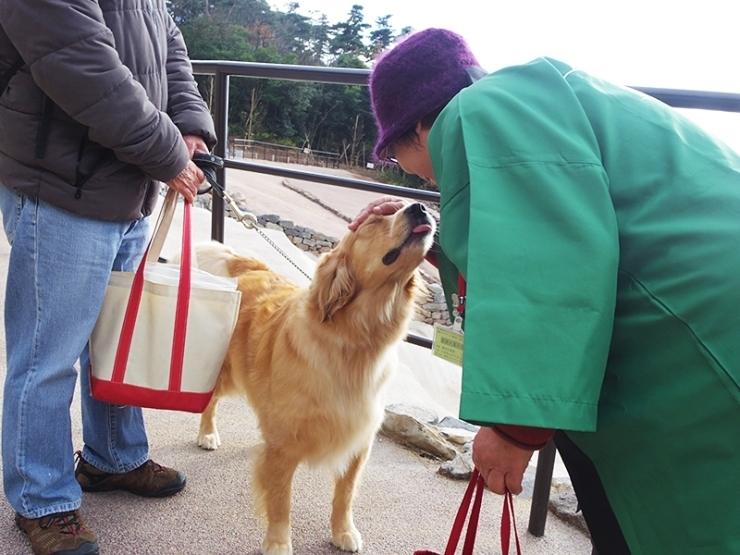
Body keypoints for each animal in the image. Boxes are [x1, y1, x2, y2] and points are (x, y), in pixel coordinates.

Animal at [192, 203, 434, 555]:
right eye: (375, 221)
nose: (421, 207)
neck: (356, 343)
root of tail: (251, 267)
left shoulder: (359, 441)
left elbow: (345, 495)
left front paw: (343, 531)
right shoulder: (284, 449)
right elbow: (281, 501)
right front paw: (278, 543)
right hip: (225, 371)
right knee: (209, 401)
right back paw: (207, 434)